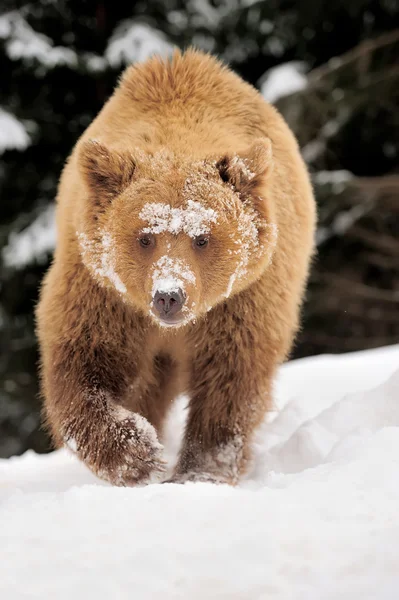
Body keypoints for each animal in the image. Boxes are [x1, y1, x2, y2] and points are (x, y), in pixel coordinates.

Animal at [36, 49, 318, 486]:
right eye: (145, 237)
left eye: (202, 238)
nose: (169, 295)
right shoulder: (102, 290)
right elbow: (83, 360)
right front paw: (137, 453)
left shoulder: (243, 299)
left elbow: (231, 376)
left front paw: (200, 472)